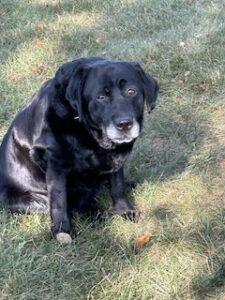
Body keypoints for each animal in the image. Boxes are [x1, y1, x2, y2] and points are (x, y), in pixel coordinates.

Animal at [0, 57, 159, 243]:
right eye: (101, 97)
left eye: (131, 91)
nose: (124, 124)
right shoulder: (56, 164)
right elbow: (59, 201)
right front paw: (62, 230)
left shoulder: (116, 159)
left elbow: (118, 185)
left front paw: (125, 210)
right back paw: (96, 214)